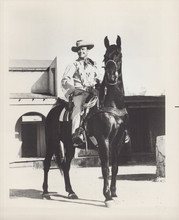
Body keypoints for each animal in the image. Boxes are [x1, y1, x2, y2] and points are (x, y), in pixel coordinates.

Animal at [42, 35, 128, 206]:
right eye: (105, 57)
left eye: (119, 55)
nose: (112, 76)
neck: (112, 104)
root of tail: (52, 112)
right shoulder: (103, 140)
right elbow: (105, 167)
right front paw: (107, 196)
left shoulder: (119, 141)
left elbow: (115, 167)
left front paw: (114, 192)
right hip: (52, 142)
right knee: (47, 163)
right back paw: (45, 192)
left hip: (69, 144)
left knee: (65, 166)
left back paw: (71, 192)